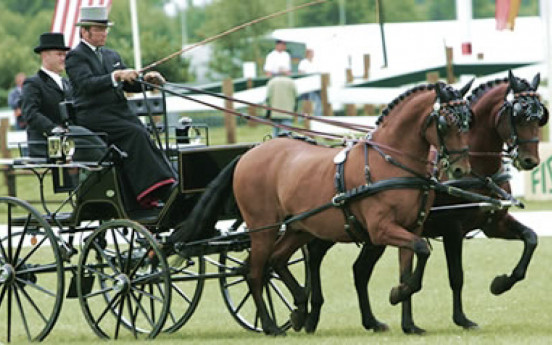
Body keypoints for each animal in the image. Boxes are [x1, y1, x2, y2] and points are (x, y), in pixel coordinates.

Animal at [169, 80, 474, 334]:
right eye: (445, 123)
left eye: (468, 121)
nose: (461, 169)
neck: (389, 161)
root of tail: (249, 153)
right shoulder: (381, 230)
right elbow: (421, 252)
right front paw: (398, 294)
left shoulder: (412, 227)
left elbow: (412, 264)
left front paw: (406, 314)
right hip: (262, 228)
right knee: (254, 271)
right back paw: (271, 324)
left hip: (298, 228)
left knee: (275, 261)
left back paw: (299, 308)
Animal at [306, 69, 548, 334]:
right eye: (519, 115)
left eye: (540, 117)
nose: (530, 160)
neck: (477, 170)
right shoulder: (453, 230)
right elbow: (456, 276)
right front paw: (461, 318)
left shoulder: (493, 223)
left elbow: (531, 239)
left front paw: (501, 283)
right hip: (334, 225)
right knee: (315, 254)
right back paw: (310, 315)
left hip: (368, 233)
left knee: (359, 270)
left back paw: (369, 321)